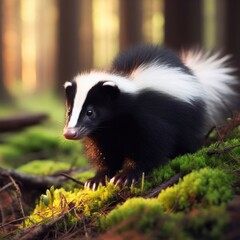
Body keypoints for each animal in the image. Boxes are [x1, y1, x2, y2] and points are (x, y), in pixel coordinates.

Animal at [62, 44, 239, 189]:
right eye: (69, 112)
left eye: (90, 112)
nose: (69, 133)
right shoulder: (102, 132)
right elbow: (104, 152)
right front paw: (98, 179)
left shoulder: (148, 119)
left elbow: (149, 147)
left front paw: (126, 176)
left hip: (189, 116)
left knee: (187, 138)